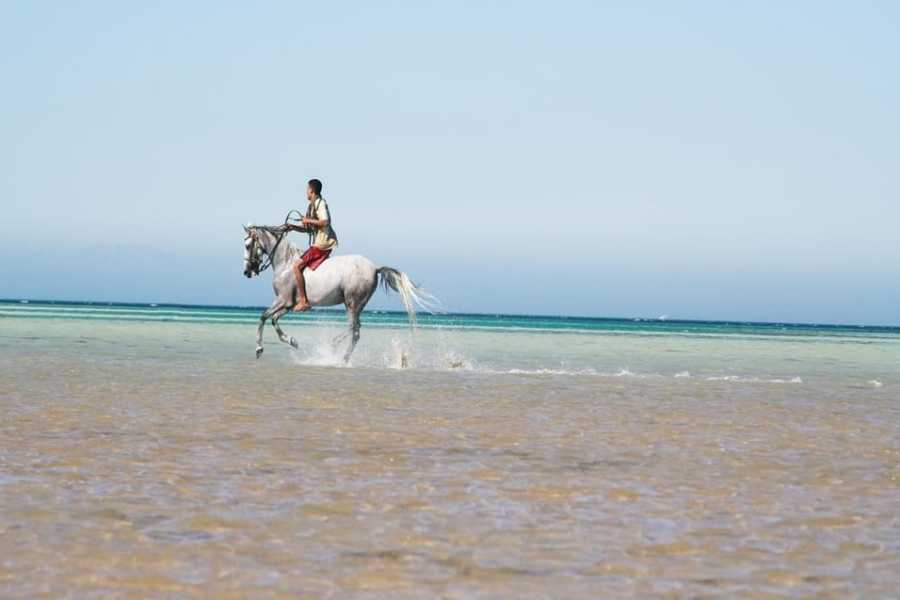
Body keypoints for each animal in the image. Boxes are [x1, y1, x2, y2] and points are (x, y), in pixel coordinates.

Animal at [242, 224, 435, 362]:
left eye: (248, 245)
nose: (247, 272)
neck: (285, 264)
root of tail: (375, 268)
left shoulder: (283, 300)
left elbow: (263, 317)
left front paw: (259, 349)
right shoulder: (288, 305)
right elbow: (273, 319)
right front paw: (292, 341)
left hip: (351, 302)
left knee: (352, 327)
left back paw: (333, 345)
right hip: (358, 305)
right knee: (356, 331)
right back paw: (344, 358)